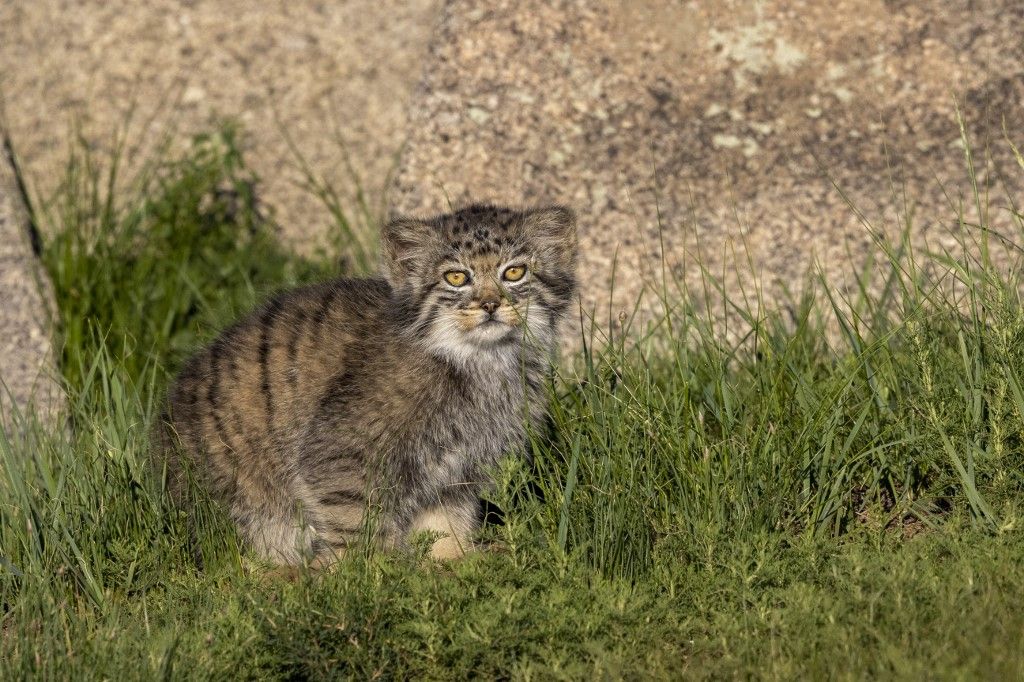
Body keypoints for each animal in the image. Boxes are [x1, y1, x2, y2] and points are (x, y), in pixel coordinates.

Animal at [156, 202, 581, 561]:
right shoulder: (341, 451)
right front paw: (368, 577)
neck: (482, 362)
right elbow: (354, 523)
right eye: (456, 276)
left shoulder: (456, 470)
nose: (490, 304)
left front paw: (454, 563)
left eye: (514, 272)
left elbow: (447, 525)